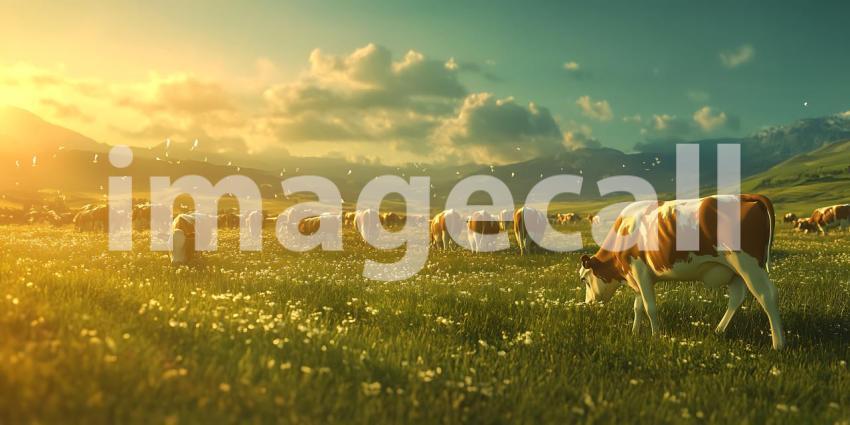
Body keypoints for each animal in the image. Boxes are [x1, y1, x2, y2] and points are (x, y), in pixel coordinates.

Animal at [579, 194, 784, 350]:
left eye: (584, 279)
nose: (588, 303)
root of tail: (745, 196)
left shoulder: (640, 272)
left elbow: (649, 307)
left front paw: (655, 335)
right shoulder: (636, 277)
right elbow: (638, 307)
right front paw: (635, 332)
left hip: (749, 265)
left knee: (767, 295)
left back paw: (778, 344)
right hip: (736, 271)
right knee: (737, 298)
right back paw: (718, 330)